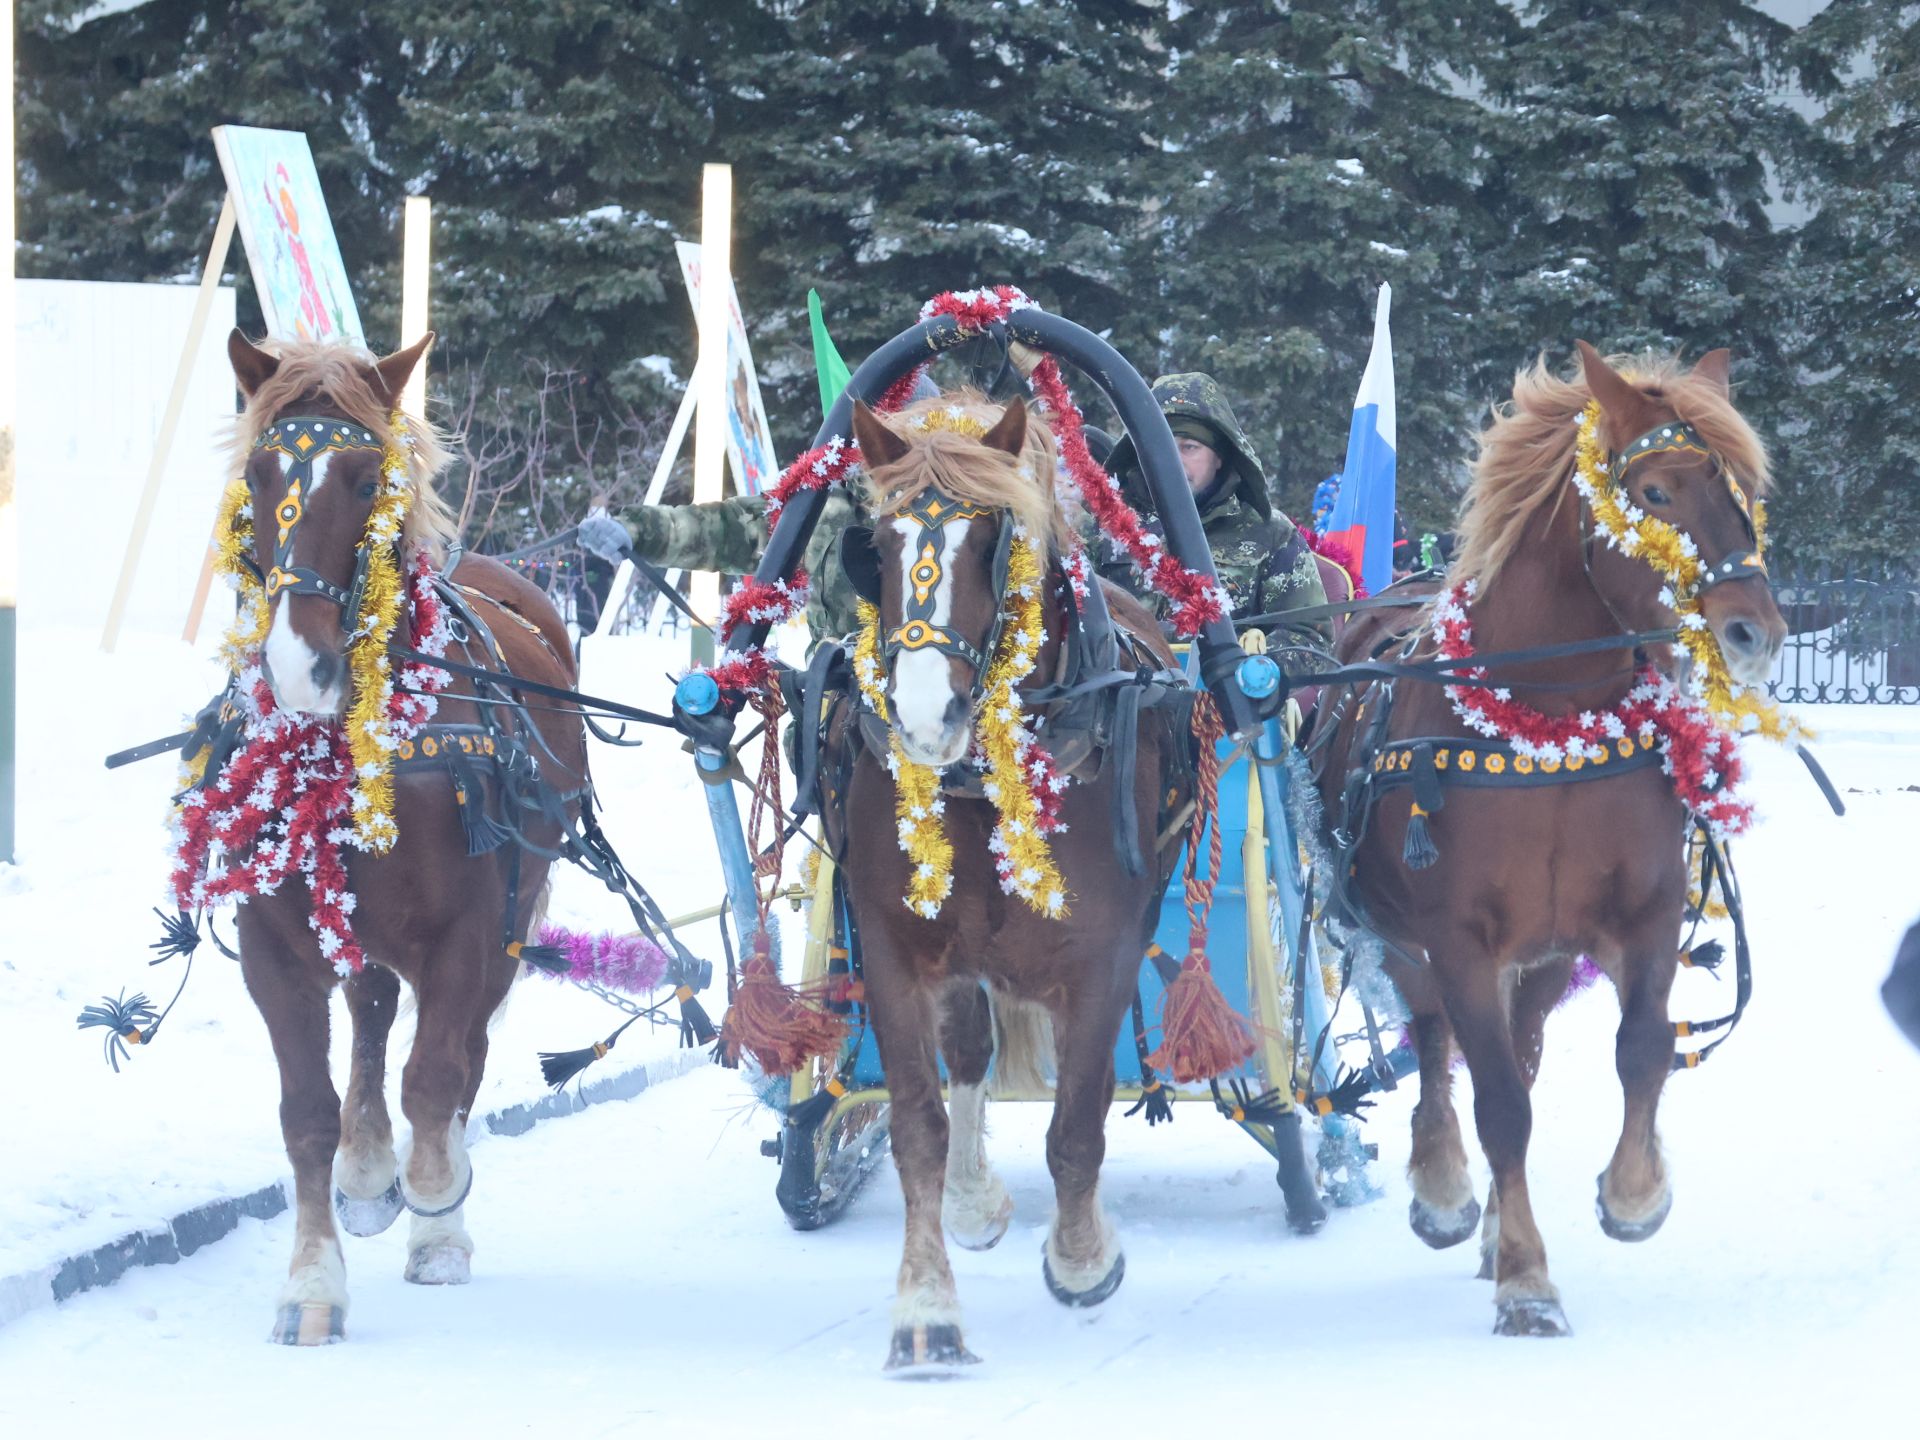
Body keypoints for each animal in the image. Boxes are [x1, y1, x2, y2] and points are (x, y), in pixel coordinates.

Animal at [224, 332, 583, 1351]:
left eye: (361, 475)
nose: (297, 665)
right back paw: (367, 1168)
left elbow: (437, 1077)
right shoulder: (273, 944)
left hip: (514, 915)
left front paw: (437, 1213)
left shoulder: (469, 929)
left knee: (463, 1053)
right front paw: (313, 1284)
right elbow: (307, 1114)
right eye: (261, 473)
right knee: (376, 1012)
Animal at [840, 395, 1182, 1374]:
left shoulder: (1102, 956)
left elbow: (1076, 1125)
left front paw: (1081, 1259)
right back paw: (972, 1198)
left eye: (995, 540)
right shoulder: (894, 947)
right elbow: (917, 1127)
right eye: (875, 545)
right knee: (968, 1056)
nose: (926, 716)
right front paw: (926, 1310)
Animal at [1320, 343, 1781, 1336]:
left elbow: (1640, 1053)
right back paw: (1450, 1192)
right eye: (1654, 491)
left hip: (1538, 957)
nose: (1754, 631)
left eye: (1740, 492)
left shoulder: (1640, 917)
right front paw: (1527, 1281)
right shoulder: (1458, 939)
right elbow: (1495, 1102)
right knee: (1433, 1039)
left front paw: (1633, 1194)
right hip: (1406, 935)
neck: (1550, 722)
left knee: (1520, 1050)